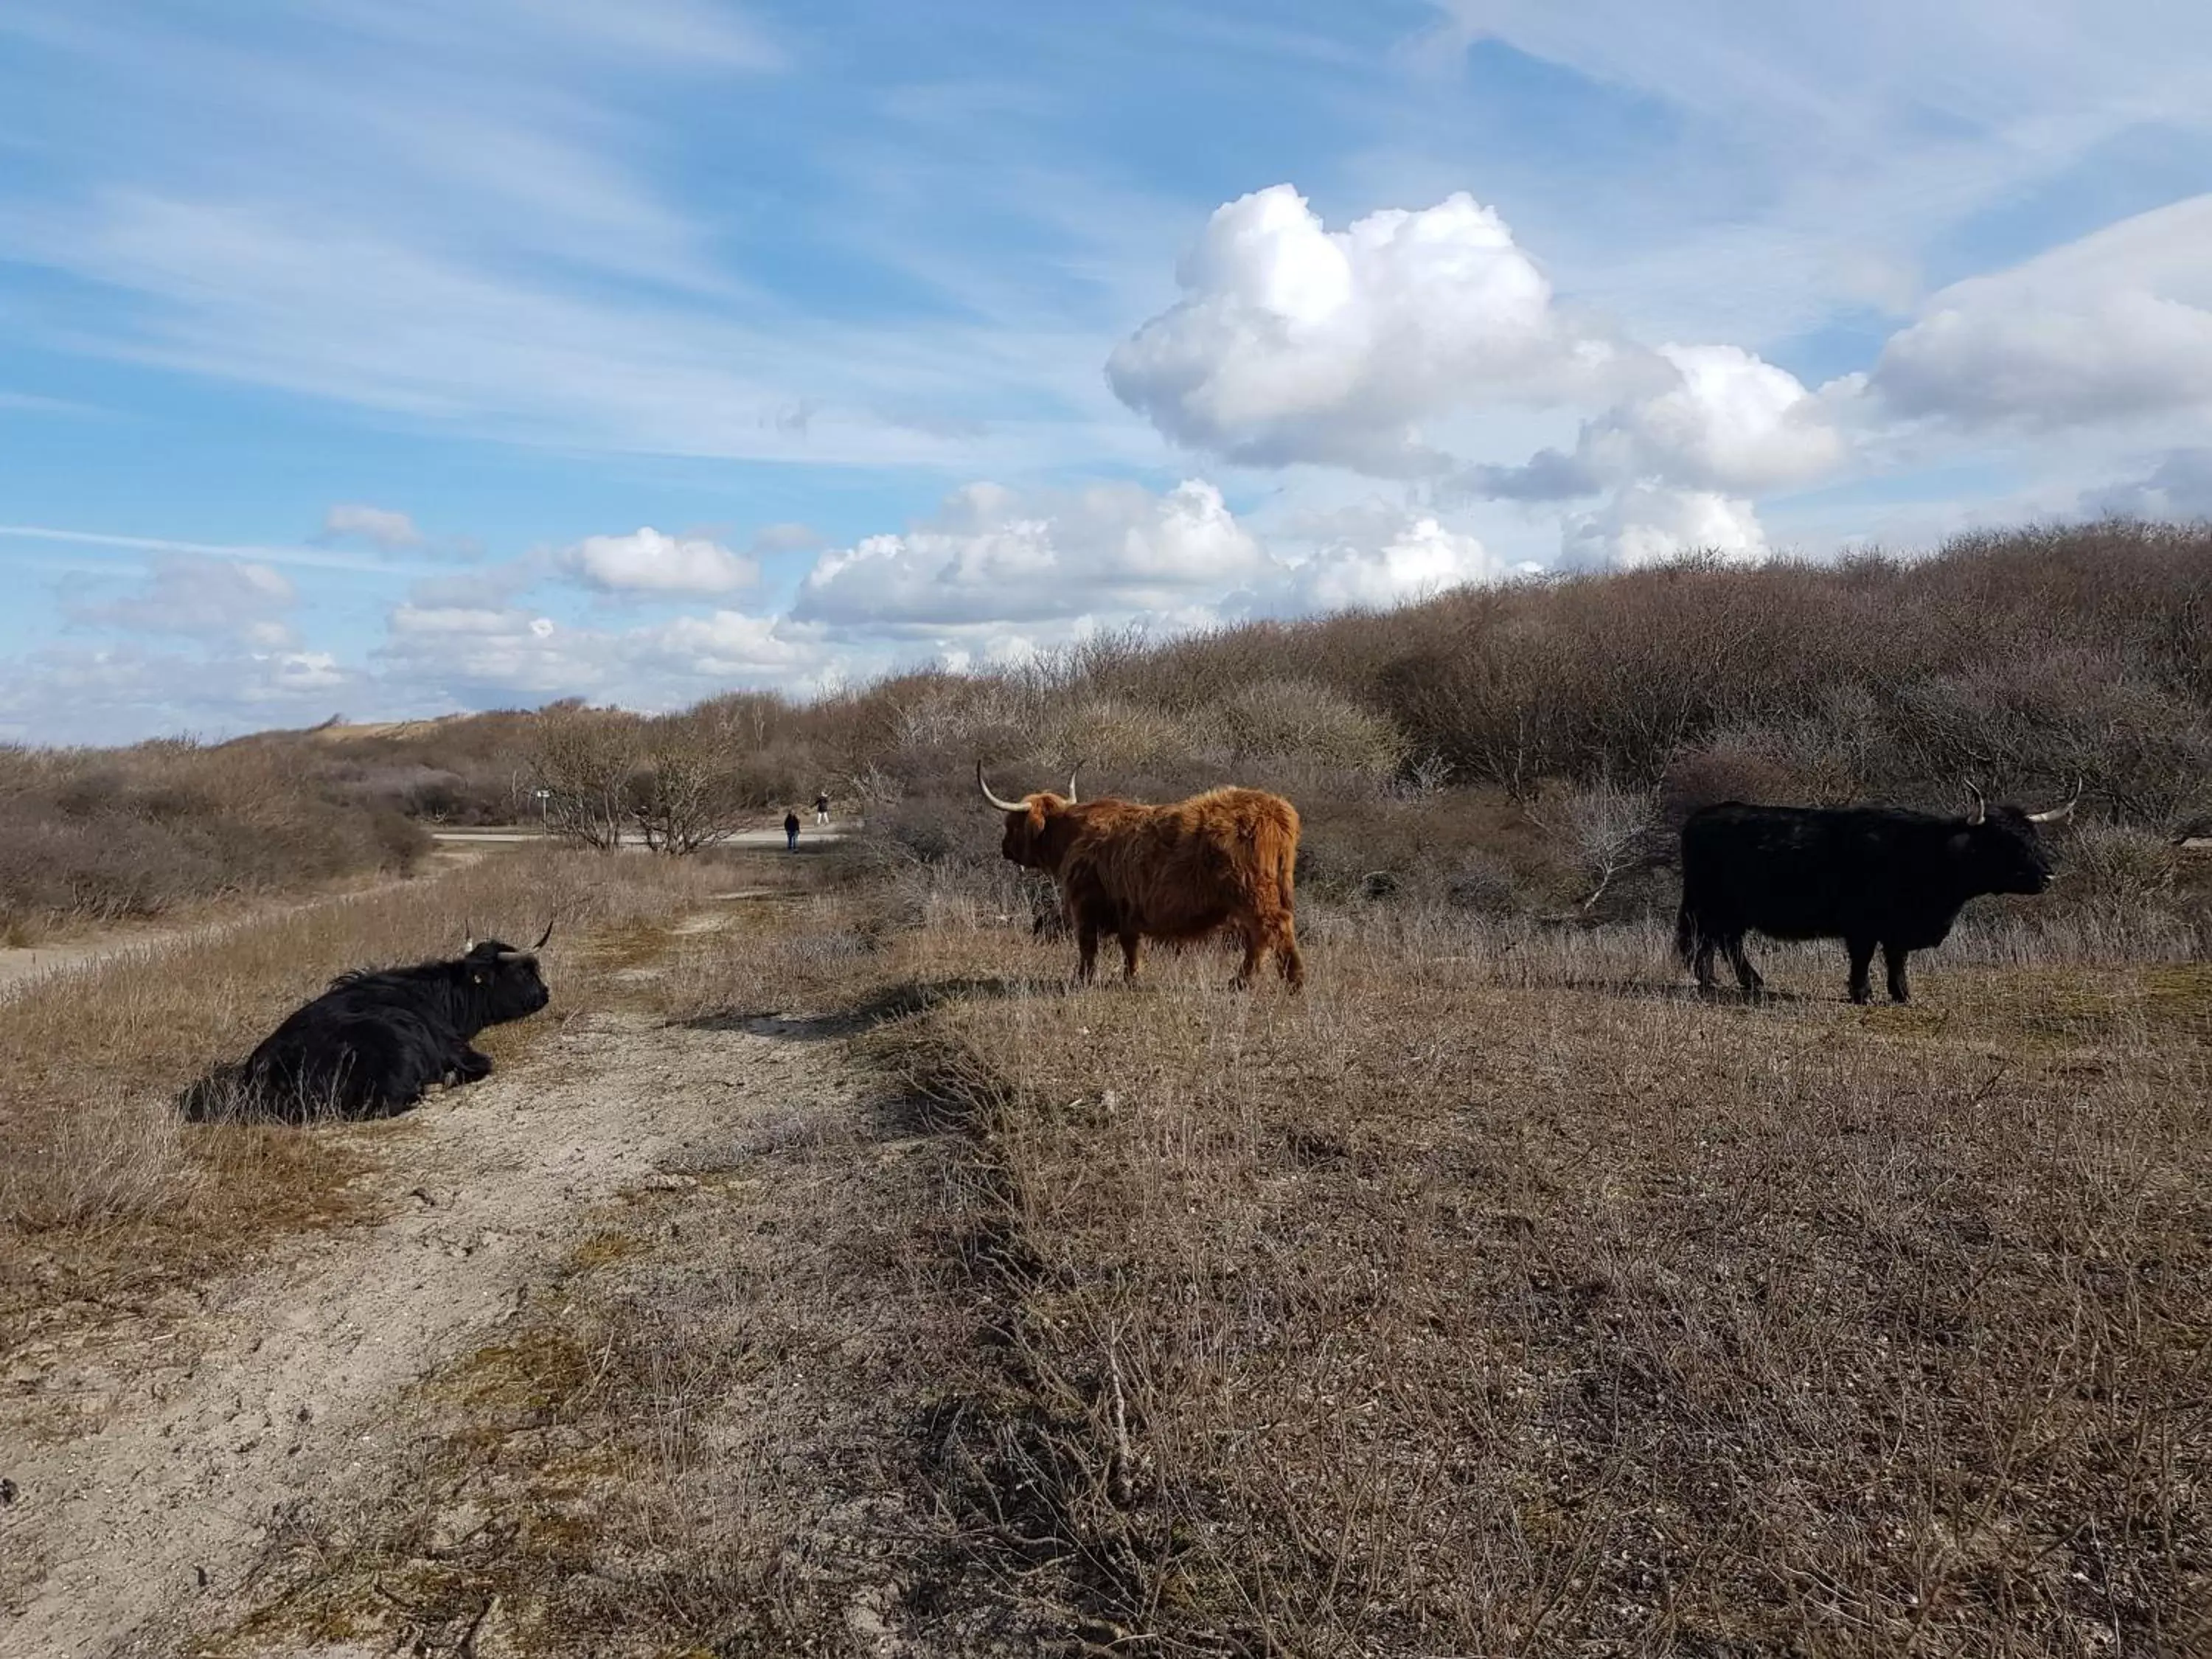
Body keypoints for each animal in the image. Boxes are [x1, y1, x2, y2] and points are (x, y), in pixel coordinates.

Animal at [186, 925, 557, 1133]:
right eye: (525, 971)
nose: (546, 993)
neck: (442, 996)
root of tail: (271, 1066)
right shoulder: (457, 1049)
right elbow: (483, 1064)